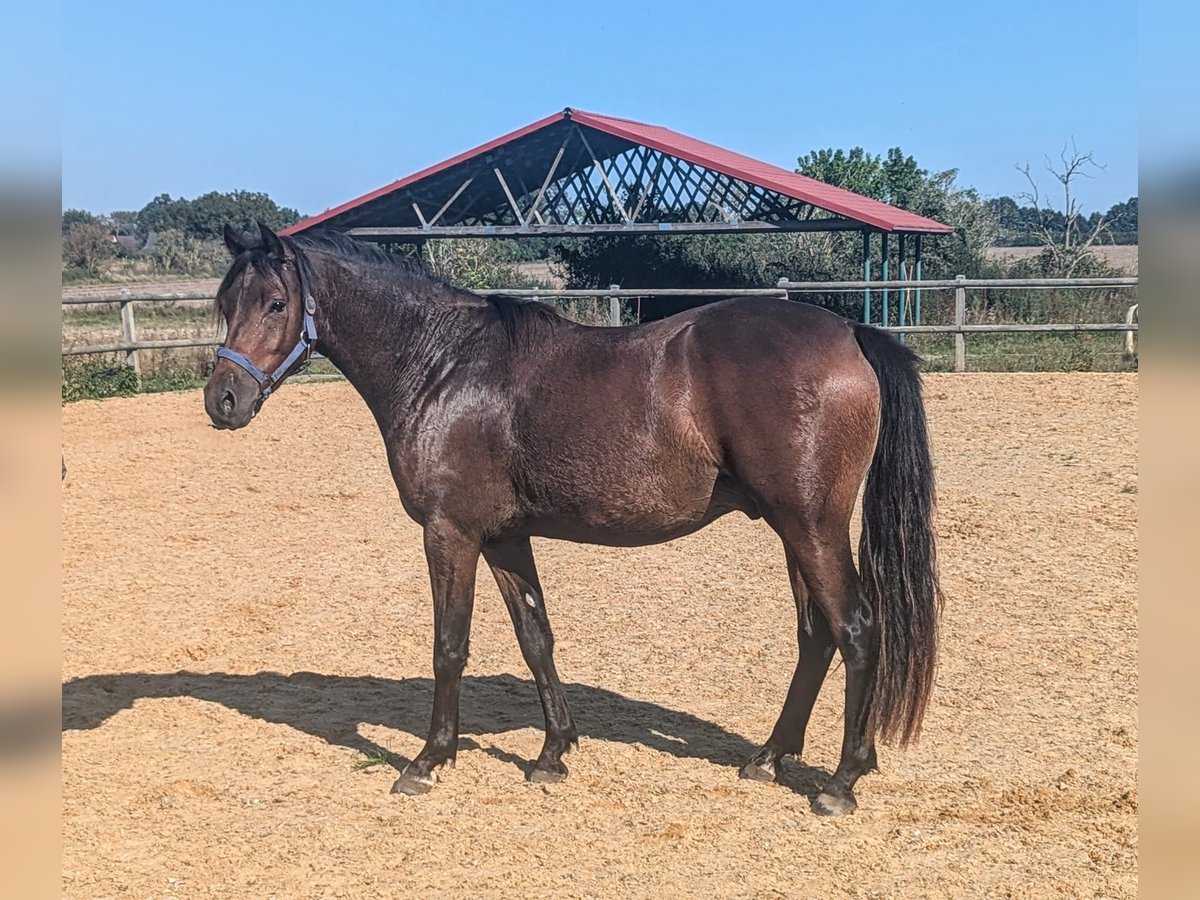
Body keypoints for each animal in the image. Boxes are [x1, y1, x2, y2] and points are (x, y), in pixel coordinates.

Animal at [204, 225, 945, 816]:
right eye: (223, 305)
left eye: (275, 304)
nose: (222, 400)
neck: (442, 365)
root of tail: (850, 332)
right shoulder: (505, 537)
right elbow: (536, 638)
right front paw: (553, 752)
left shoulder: (450, 532)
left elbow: (450, 646)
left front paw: (429, 759)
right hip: (792, 529)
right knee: (816, 636)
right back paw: (768, 758)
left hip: (811, 526)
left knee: (857, 630)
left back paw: (842, 781)